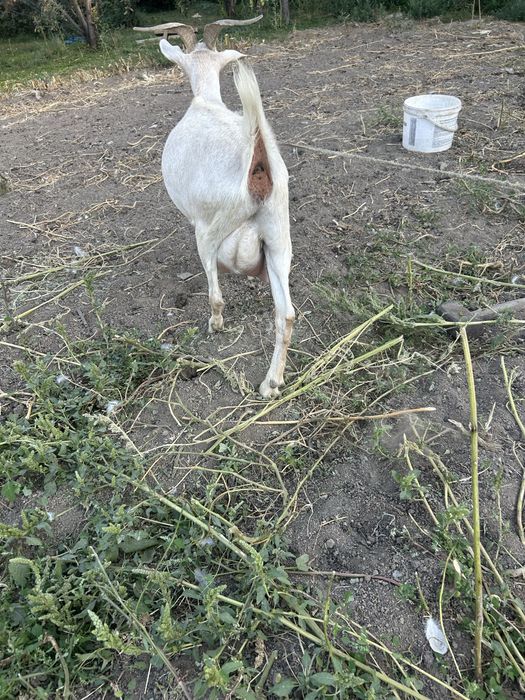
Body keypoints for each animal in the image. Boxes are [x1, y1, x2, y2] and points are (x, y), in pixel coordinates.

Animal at [134, 17, 294, 399]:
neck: (205, 100)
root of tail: (256, 163)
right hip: (279, 235)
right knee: (286, 313)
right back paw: (271, 383)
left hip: (210, 229)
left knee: (216, 291)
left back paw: (216, 325)